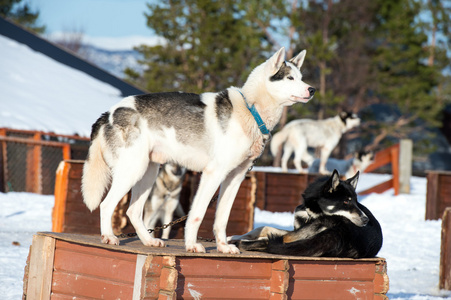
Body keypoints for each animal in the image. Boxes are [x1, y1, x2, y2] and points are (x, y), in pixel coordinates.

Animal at [82, 47, 314, 253]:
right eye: (290, 78)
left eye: (301, 77)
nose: (312, 89)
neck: (251, 109)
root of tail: (109, 113)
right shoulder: (213, 174)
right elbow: (197, 214)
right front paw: (192, 245)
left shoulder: (235, 179)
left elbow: (222, 219)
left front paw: (222, 246)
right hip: (132, 171)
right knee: (106, 205)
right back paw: (109, 236)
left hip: (147, 174)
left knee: (133, 211)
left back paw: (149, 241)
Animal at [231, 170, 384, 258]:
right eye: (346, 201)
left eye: (356, 202)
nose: (365, 220)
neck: (312, 211)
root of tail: (344, 233)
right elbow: (262, 228)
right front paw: (236, 235)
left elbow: (267, 231)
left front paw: (235, 238)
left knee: (274, 241)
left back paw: (240, 243)